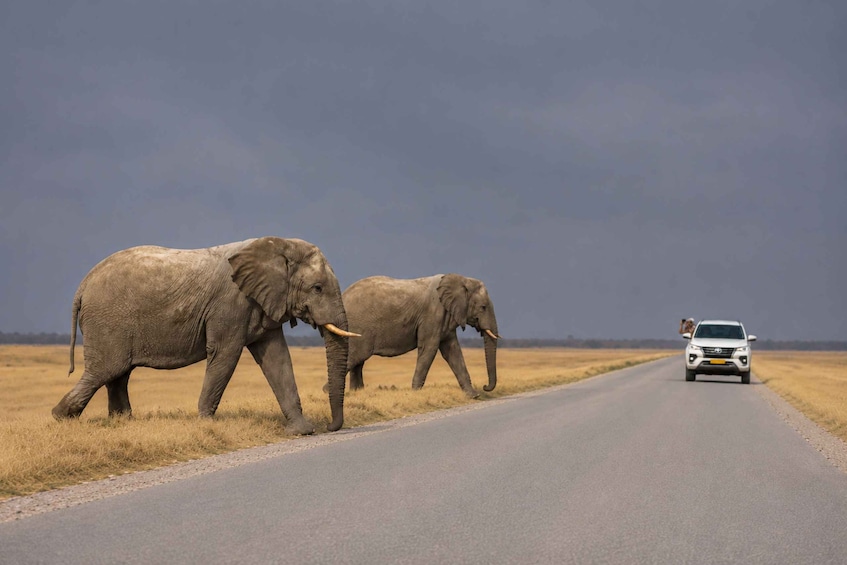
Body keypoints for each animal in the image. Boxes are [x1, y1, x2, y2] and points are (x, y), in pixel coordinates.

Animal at [52, 237, 358, 435]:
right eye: (317, 288)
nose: (330, 427)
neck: (277, 245)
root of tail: (83, 286)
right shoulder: (230, 305)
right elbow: (225, 354)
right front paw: (206, 424)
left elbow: (277, 359)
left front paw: (301, 431)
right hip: (108, 321)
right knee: (106, 370)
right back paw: (61, 417)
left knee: (118, 374)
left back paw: (122, 422)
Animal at [341, 274, 500, 397]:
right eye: (483, 307)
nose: (485, 386)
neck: (462, 279)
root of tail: (343, 295)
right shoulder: (432, 315)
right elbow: (429, 348)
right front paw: (415, 393)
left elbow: (452, 351)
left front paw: (473, 395)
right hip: (357, 326)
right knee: (353, 359)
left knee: (358, 362)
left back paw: (357, 393)